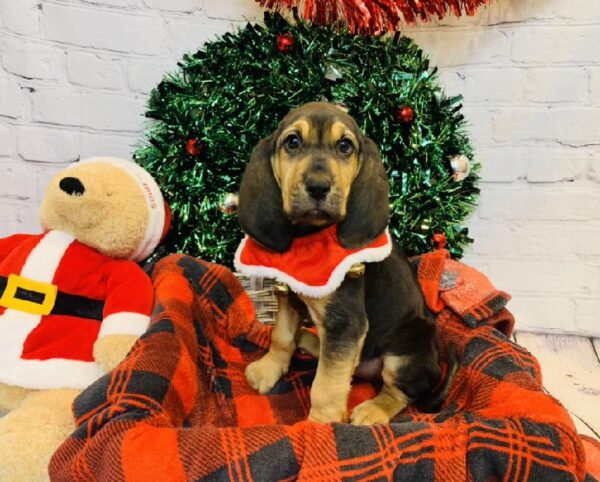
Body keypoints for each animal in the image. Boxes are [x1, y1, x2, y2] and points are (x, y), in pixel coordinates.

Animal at [238, 102, 440, 426]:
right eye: (292, 142)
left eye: (345, 146)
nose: (318, 187)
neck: (310, 235)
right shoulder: (290, 297)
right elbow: (281, 336)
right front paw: (268, 369)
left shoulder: (345, 322)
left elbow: (327, 385)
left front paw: (320, 425)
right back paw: (309, 341)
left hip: (405, 352)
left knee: (400, 391)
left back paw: (372, 410)